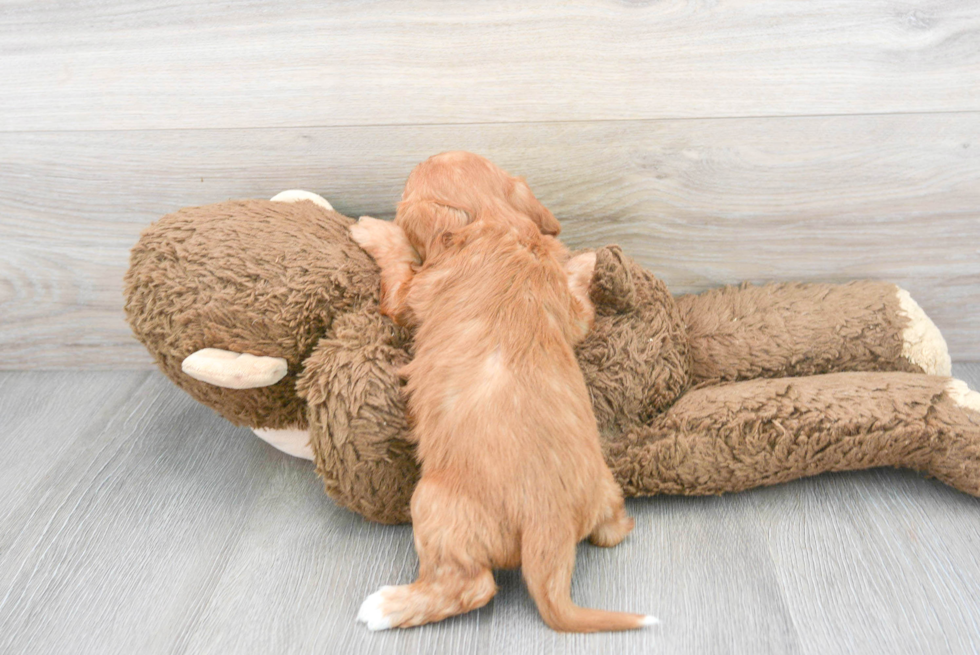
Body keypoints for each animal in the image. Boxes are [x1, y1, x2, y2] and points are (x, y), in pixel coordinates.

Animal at [348, 151, 656, 632]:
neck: (498, 226)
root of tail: (549, 526)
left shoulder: (408, 297)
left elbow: (397, 262)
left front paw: (373, 229)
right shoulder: (571, 312)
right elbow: (578, 299)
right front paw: (588, 262)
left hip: (432, 503)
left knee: (470, 587)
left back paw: (387, 607)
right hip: (606, 492)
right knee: (612, 532)